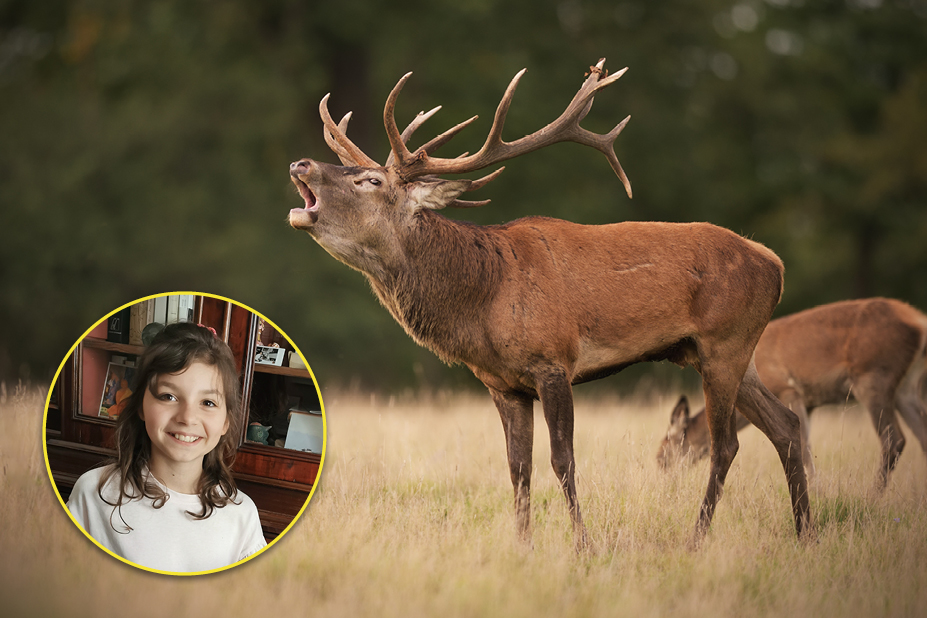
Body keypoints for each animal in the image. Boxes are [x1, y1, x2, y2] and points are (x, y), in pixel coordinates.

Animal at [286, 60, 808, 548]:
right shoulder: (503, 384)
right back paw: (806, 531)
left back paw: (697, 539)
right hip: (721, 353)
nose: (301, 164)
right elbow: (519, 468)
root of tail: (776, 264)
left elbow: (563, 460)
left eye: (371, 180)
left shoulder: (553, 360)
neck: (484, 298)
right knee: (785, 425)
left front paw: (583, 546)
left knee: (727, 444)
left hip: (724, 342)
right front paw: (523, 546)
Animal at [656, 298, 927, 490]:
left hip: (872, 376)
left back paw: (872, 496)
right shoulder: (809, 401)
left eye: (662, 456)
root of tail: (919, 323)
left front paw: (817, 493)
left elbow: (804, 448)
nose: (664, 484)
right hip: (904, 387)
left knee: (893, 439)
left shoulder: (789, 390)